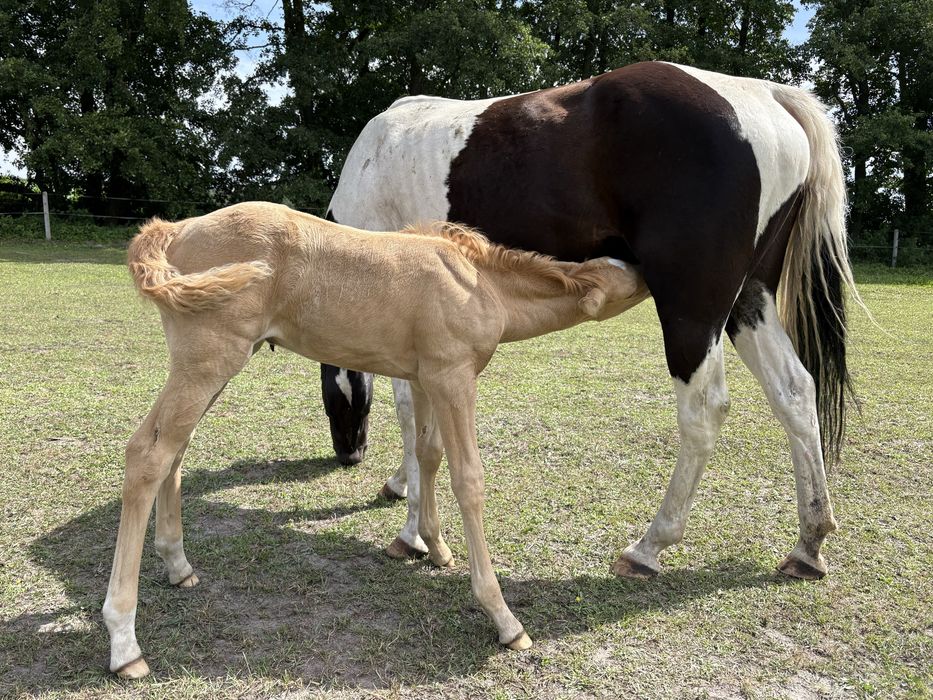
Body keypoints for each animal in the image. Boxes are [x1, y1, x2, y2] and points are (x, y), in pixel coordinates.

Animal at [103, 202, 647, 678]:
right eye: (623, 278)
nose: (648, 267)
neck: (479, 285)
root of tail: (176, 228)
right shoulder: (453, 378)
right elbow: (468, 480)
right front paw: (504, 619)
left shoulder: (426, 378)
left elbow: (427, 454)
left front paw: (432, 546)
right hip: (210, 360)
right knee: (147, 454)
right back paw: (125, 643)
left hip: (214, 366)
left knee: (174, 451)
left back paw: (178, 566)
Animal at [322, 61, 861, 580]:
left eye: (333, 404)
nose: (348, 456)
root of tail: (766, 95)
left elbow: (410, 416)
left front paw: (412, 531)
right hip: (749, 299)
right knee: (794, 393)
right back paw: (809, 542)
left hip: (691, 308)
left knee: (704, 410)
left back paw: (650, 546)